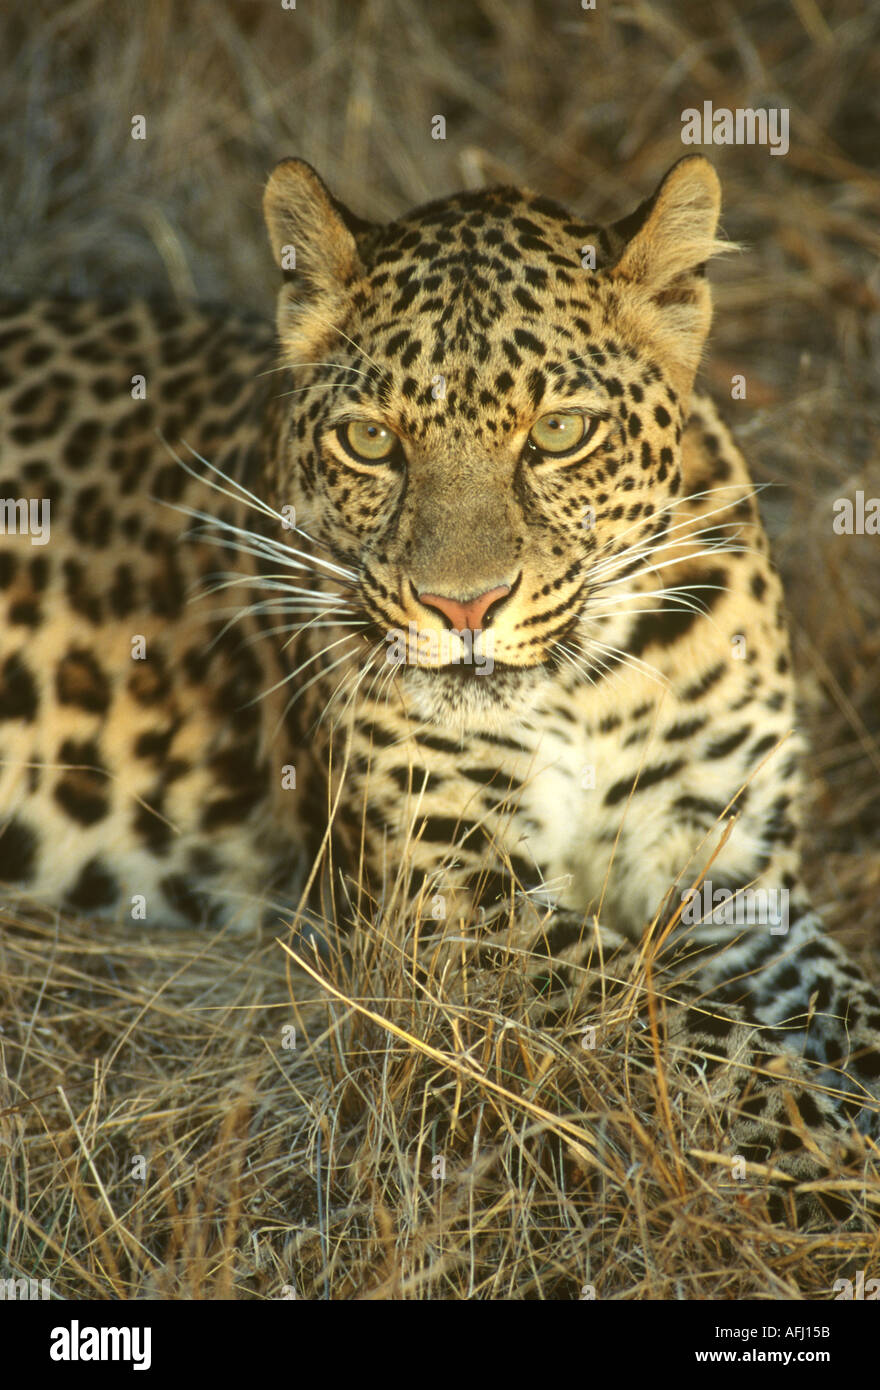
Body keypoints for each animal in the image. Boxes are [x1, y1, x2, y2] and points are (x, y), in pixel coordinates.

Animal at [1, 153, 879, 1221]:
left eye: (560, 433)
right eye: (373, 442)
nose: (464, 607)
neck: (588, 690)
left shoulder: (733, 874)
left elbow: (844, 1004)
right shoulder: (453, 899)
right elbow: (681, 1030)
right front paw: (828, 1150)